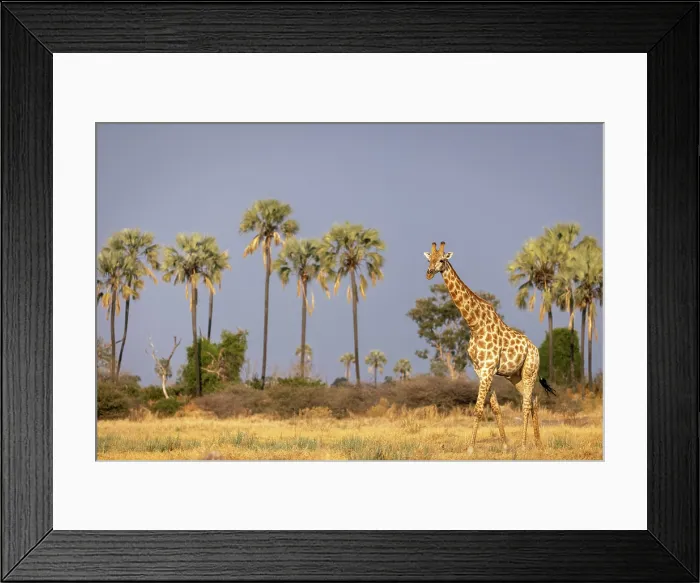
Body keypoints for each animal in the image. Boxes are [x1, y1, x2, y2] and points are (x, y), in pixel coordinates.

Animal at [423, 241, 556, 453]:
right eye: (429, 259)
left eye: (442, 260)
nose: (428, 273)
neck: (474, 324)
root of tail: (535, 349)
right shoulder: (481, 370)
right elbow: (495, 407)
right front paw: (505, 445)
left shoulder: (487, 369)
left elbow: (478, 409)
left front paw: (470, 448)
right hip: (515, 376)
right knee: (534, 401)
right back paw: (538, 444)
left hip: (530, 370)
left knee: (526, 404)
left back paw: (524, 445)